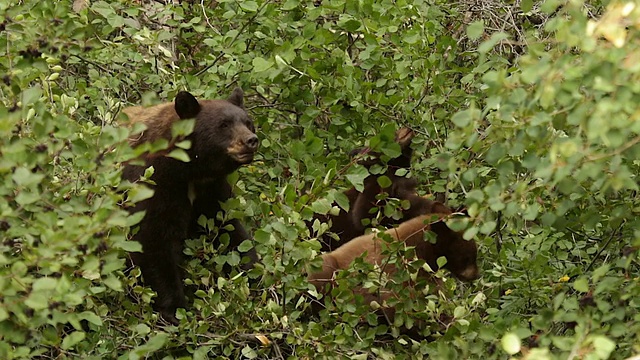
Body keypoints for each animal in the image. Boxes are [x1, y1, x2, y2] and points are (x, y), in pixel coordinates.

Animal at [122, 87, 258, 324]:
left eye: (248, 122)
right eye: (224, 124)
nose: (251, 140)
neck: (190, 172)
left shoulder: (212, 191)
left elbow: (229, 230)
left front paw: (252, 272)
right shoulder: (153, 185)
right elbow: (152, 241)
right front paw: (175, 308)